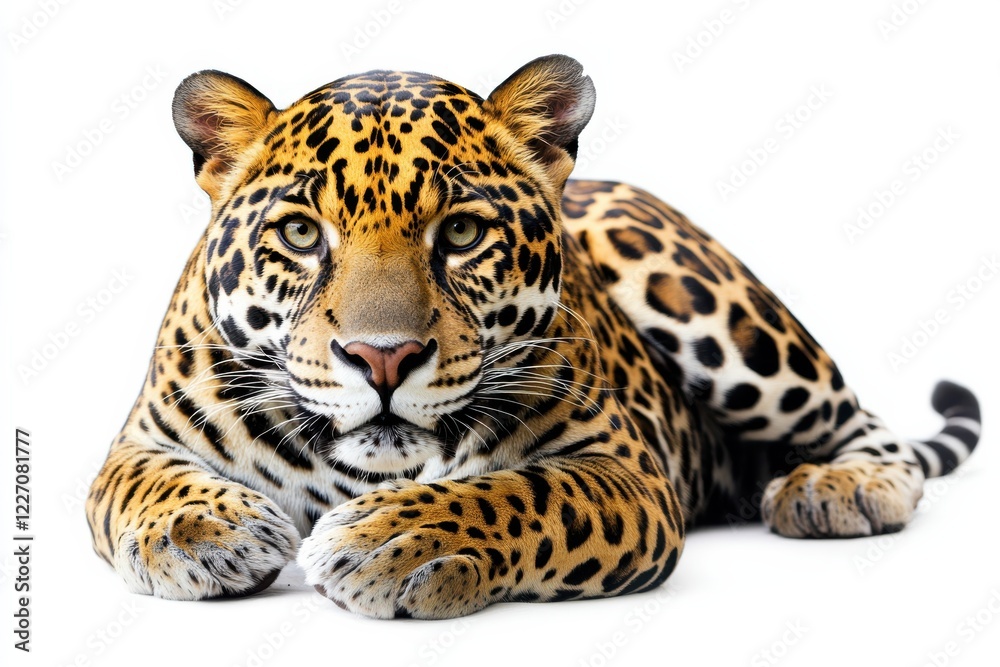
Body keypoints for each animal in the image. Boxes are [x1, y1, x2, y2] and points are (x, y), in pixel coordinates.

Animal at [86, 55, 982, 619]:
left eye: (462, 232)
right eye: (302, 234)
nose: (383, 358)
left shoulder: (623, 469)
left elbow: (520, 493)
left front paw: (392, 537)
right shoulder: (139, 440)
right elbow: (141, 486)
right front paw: (204, 531)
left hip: (723, 315)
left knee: (866, 425)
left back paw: (839, 487)